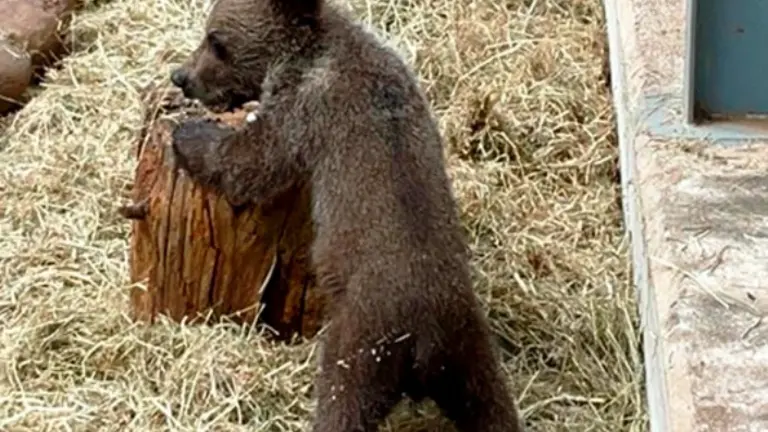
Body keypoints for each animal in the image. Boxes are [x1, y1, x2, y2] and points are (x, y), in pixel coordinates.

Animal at [168, 0, 526, 430]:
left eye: (216, 41)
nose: (181, 77)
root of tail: (427, 339)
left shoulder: (305, 110)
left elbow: (253, 162)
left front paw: (187, 135)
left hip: (363, 341)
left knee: (342, 400)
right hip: (470, 351)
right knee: (492, 405)